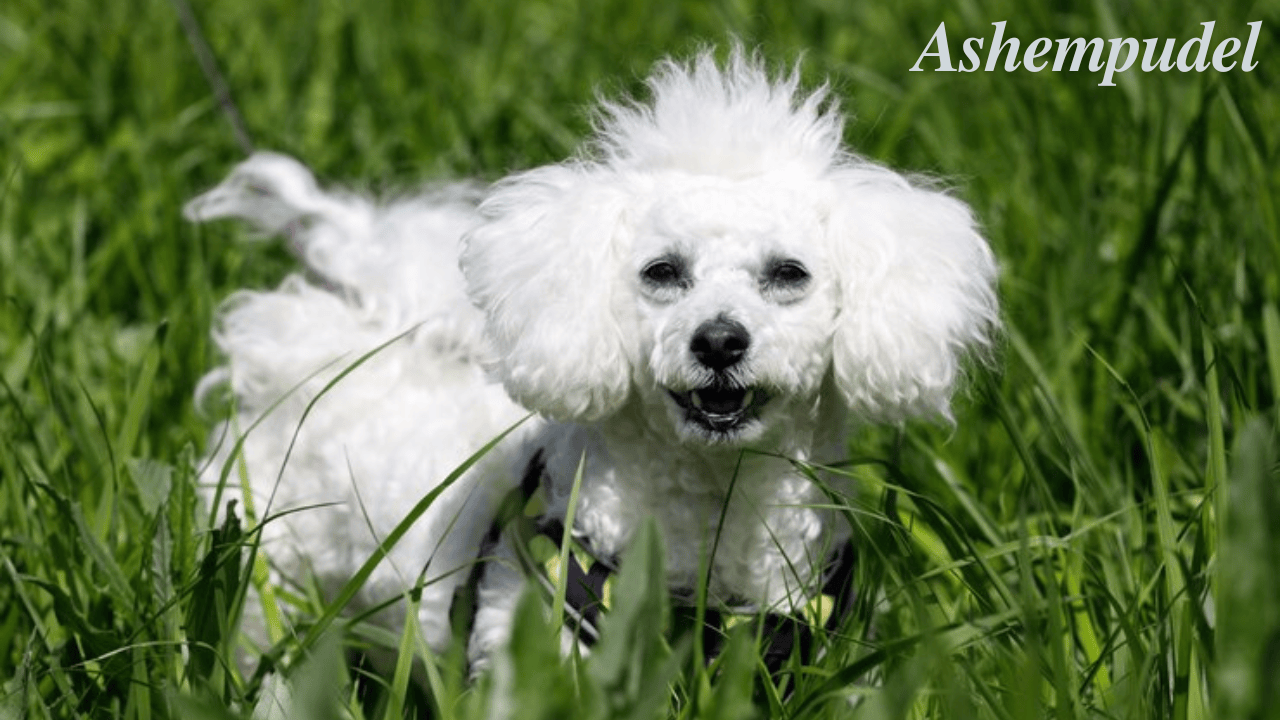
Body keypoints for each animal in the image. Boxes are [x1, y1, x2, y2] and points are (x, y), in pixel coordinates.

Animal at [186, 47, 998, 676]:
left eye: (789, 273)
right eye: (662, 272)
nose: (719, 341)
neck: (710, 524)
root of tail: (318, 335)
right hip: (259, 560)